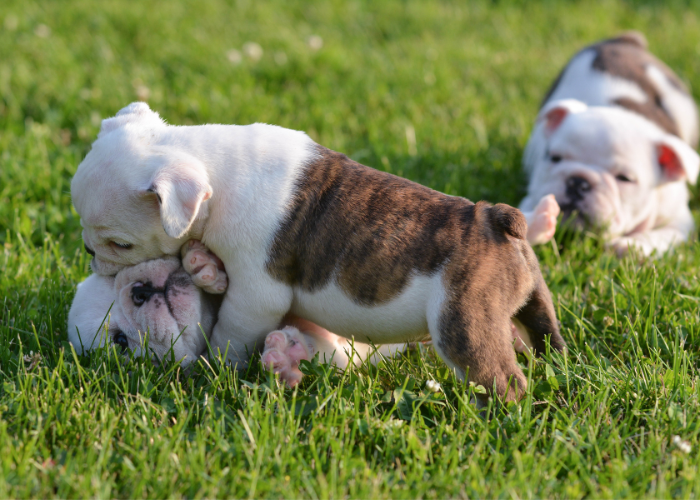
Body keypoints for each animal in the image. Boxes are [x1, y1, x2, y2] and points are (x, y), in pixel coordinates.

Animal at [71, 102, 564, 402]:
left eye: (119, 243)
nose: (91, 255)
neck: (213, 171)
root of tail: (495, 222)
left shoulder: (256, 293)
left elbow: (232, 331)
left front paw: (220, 369)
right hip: (527, 297)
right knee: (544, 331)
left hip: (461, 322)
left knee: (498, 377)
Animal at [520, 31, 700, 256]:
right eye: (554, 158)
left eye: (625, 178)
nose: (578, 181)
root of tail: (625, 40)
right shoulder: (533, 195)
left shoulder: (679, 221)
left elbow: (661, 235)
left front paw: (631, 246)